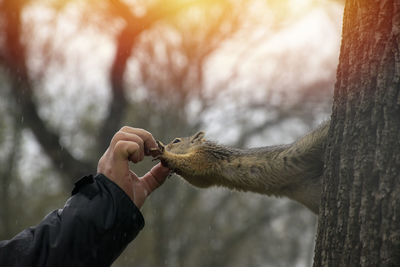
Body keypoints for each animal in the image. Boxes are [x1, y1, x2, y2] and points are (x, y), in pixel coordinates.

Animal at [152, 122, 330, 216]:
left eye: (176, 141)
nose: (167, 145)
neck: (200, 147)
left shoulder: (206, 157)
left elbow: (193, 164)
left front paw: (164, 153)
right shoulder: (206, 176)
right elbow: (198, 180)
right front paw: (172, 169)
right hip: (310, 193)